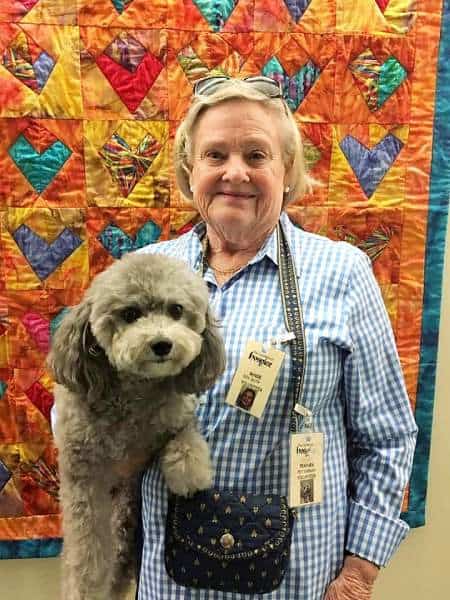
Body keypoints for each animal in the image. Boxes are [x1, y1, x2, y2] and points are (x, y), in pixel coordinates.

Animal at [48, 253, 225, 600]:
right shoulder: (84, 477)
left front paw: (189, 472)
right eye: (130, 314)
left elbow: (185, 434)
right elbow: (87, 550)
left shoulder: (178, 413)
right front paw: (86, 585)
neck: (134, 393)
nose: (162, 344)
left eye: (176, 310)